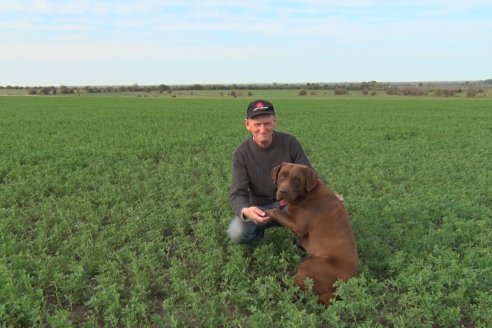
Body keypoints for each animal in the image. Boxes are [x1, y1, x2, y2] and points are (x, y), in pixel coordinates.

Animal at [266, 163, 358, 306]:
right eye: (281, 176)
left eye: (297, 180)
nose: (282, 191)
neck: (306, 195)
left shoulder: (298, 226)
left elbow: (276, 211)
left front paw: (264, 212)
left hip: (308, 266)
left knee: (299, 289)